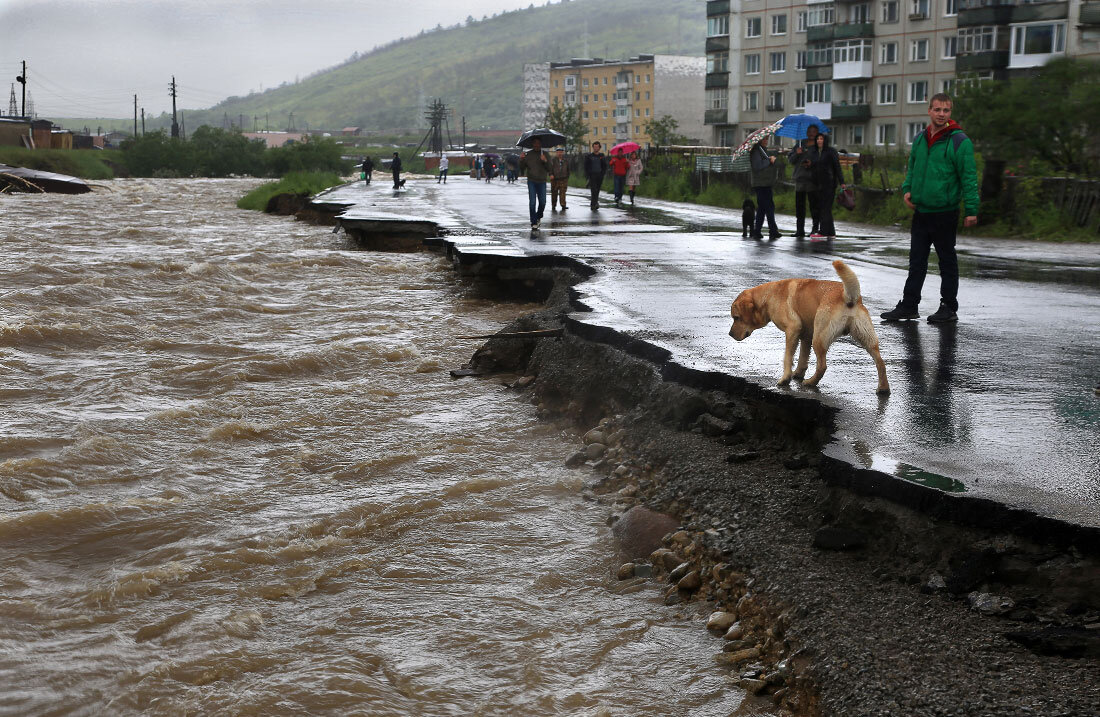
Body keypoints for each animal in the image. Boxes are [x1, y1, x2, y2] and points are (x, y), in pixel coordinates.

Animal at [730, 257, 893, 391]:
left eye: (736, 318)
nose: (730, 334)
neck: (769, 296)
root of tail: (848, 297)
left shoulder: (793, 330)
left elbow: (788, 357)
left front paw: (785, 379)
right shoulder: (806, 336)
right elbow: (802, 359)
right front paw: (797, 374)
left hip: (819, 338)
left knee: (822, 366)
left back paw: (810, 383)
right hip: (866, 339)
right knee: (881, 362)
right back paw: (883, 388)